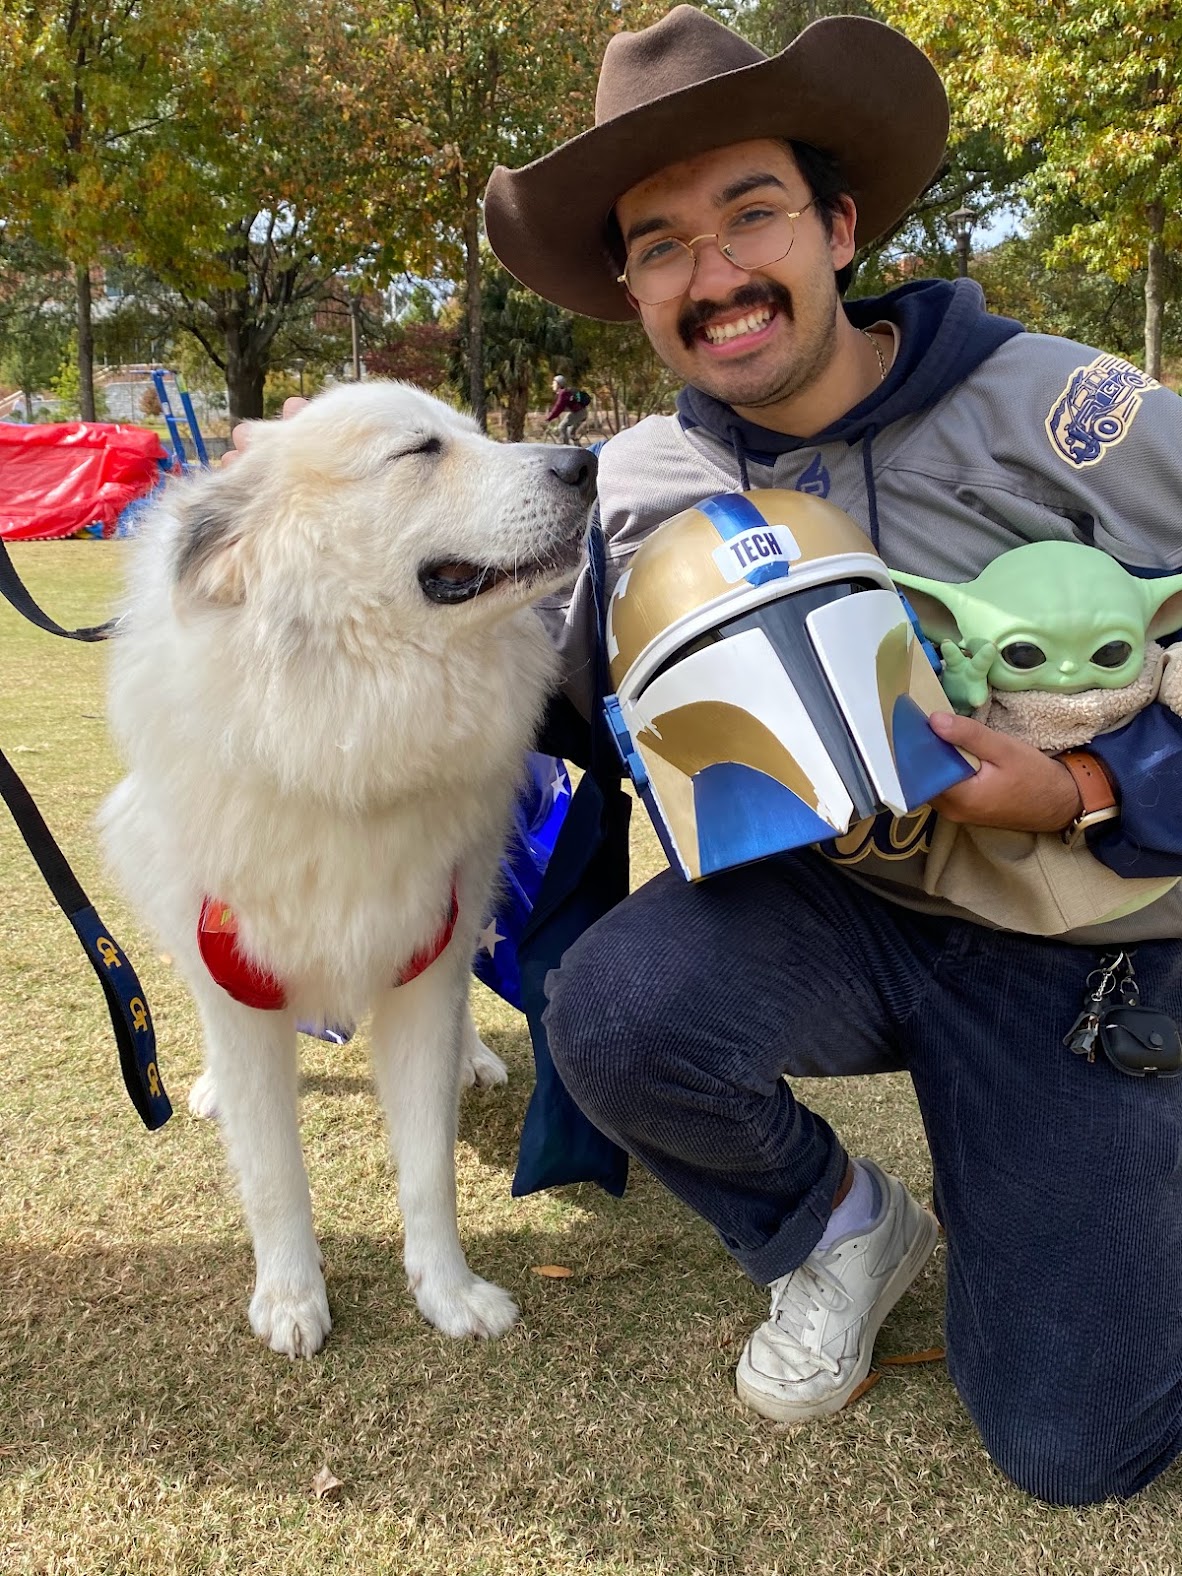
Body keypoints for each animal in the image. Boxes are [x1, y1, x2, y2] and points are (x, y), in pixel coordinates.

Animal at [100, 381, 595, 1355]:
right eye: (419, 451)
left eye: (477, 435)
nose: (585, 463)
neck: (343, 731)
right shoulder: (239, 984)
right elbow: (272, 1177)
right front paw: (292, 1300)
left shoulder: (425, 967)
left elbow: (430, 1167)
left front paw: (450, 1294)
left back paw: (476, 1057)